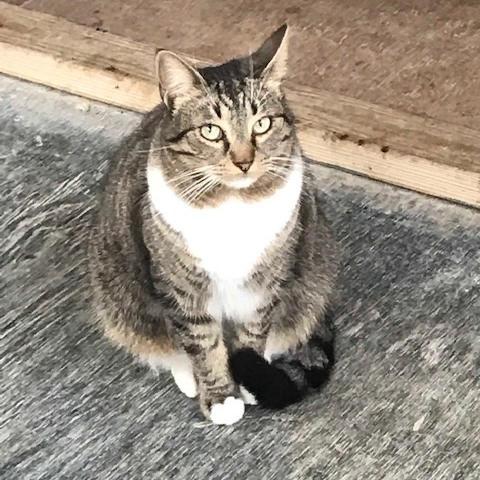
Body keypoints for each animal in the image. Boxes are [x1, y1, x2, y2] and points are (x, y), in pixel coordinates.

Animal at [89, 24, 338, 426]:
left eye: (262, 125)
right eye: (210, 131)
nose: (243, 161)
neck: (232, 207)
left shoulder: (266, 282)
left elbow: (254, 331)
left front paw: (249, 379)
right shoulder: (181, 286)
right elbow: (203, 343)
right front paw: (221, 395)